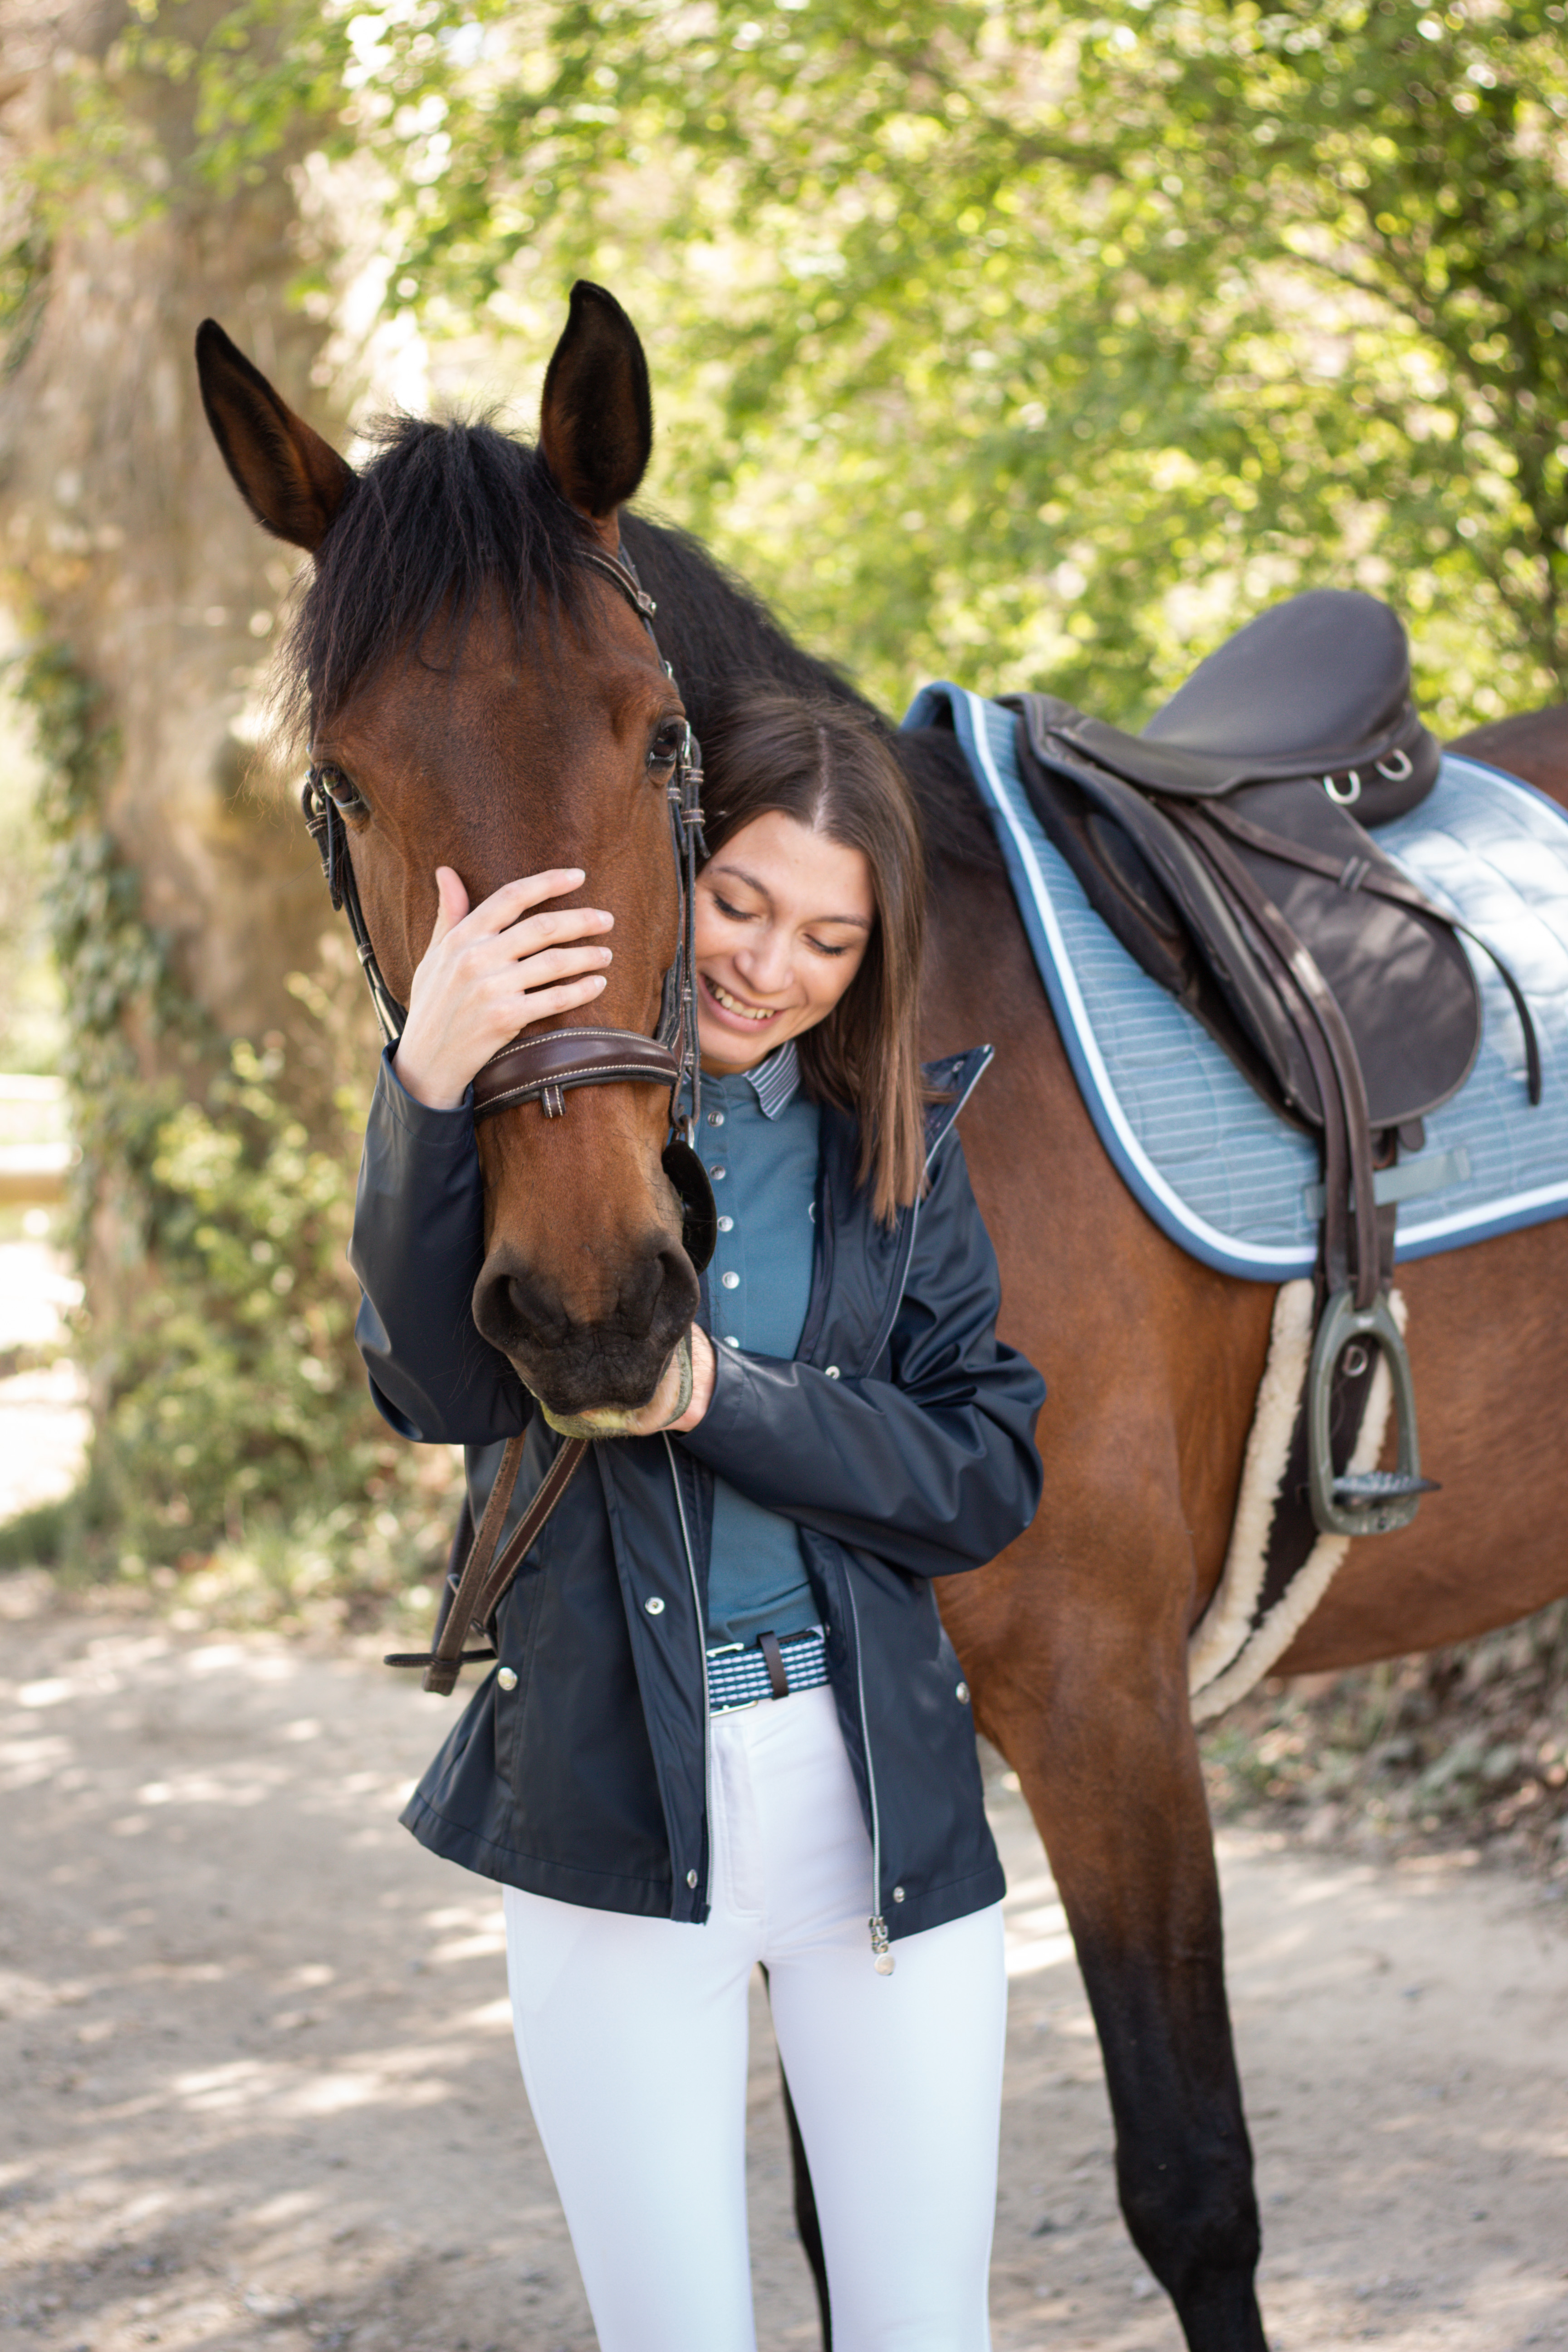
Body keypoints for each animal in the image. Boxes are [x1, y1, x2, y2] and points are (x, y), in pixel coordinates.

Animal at [196, 284, 1568, 2342]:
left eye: (659, 743)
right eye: (344, 785)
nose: (595, 1302)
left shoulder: (1101, 1702)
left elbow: (1193, 2187)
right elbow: (839, 2224)